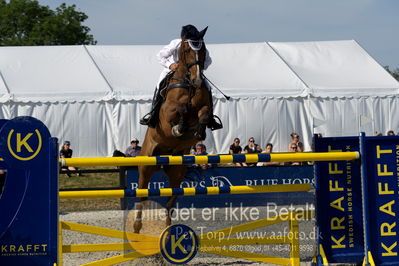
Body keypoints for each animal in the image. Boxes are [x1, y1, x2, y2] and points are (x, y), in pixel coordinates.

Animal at [134, 30, 212, 233]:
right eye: (186, 50)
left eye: (204, 51)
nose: (198, 80)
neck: (189, 84)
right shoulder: (168, 112)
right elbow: (181, 110)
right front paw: (180, 128)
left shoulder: (204, 108)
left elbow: (204, 116)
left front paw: (199, 132)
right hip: (145, 166)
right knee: (141, 198)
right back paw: (136, 228)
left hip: (177, 170)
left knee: (170, 203)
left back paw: (168, 232)